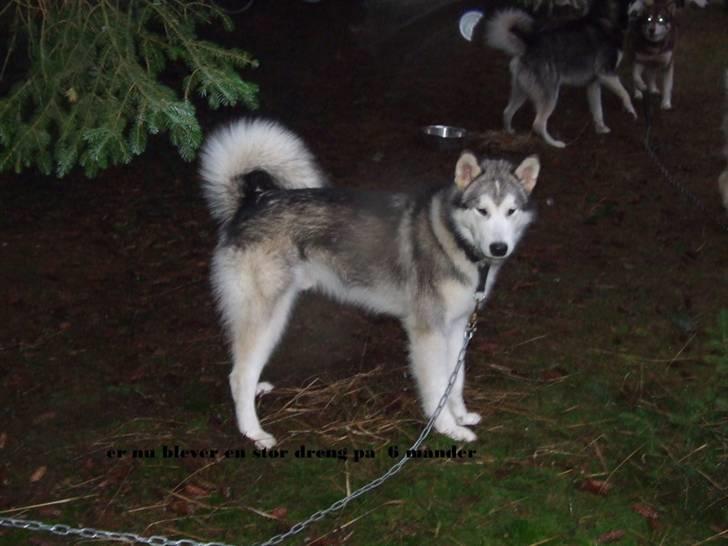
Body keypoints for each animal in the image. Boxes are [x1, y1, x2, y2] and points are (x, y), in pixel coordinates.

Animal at [200, 119, 540, 448]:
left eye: (511, 211)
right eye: (482, 210)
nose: (499, 247)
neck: (454, 239)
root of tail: (249, 202)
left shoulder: (456, 327)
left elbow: (455, 381)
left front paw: (461, 415)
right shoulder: (428, 332)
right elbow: (437, 386)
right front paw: (448, 428)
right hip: (269, 315)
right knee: (238, 375)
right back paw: (253, 432)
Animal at [484, 0, 637, 147]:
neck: (604, 17)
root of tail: (528, 47)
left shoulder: (594, 83)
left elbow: (598, 110)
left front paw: (601, 128)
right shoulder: (606, 73)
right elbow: (625, 94)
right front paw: (631, 111)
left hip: (521, 91)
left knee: (507, 112)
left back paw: (509, 132)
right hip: (550, 95)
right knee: (538, 124)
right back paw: (555, 144)